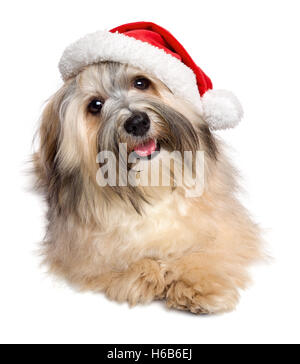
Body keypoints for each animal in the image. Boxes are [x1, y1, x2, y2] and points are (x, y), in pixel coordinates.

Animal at [32, 22, 262, 312]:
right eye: (95, 105)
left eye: (141, 82)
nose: (137, 122)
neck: (153, 186)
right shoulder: (80, 253)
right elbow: (115, 260)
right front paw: (146, 275)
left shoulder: (228, 224)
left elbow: (211, 247)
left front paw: (196, 283)